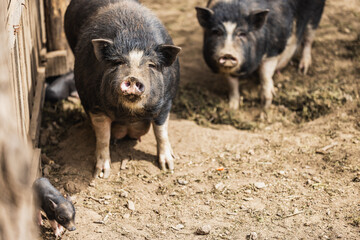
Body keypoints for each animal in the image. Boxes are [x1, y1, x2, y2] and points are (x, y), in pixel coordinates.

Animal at [64, 0, 180, 176]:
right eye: (117, 62)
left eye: (151, 65)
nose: (132, 78)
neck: (129, 115)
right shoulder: (94, 105)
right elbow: (103, 137)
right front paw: (101, 173)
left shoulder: (166, 101)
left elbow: (161, 132)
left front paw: (168, 167)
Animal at [197, 0, 326, 109]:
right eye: (216, 32)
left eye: (242, 33)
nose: (227, 54)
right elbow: (232, 84)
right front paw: (233, 108)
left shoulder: (273, 51)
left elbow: (265, 75)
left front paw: (266, 106)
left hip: (316, 12)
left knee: (308, 38)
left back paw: (303, 70)